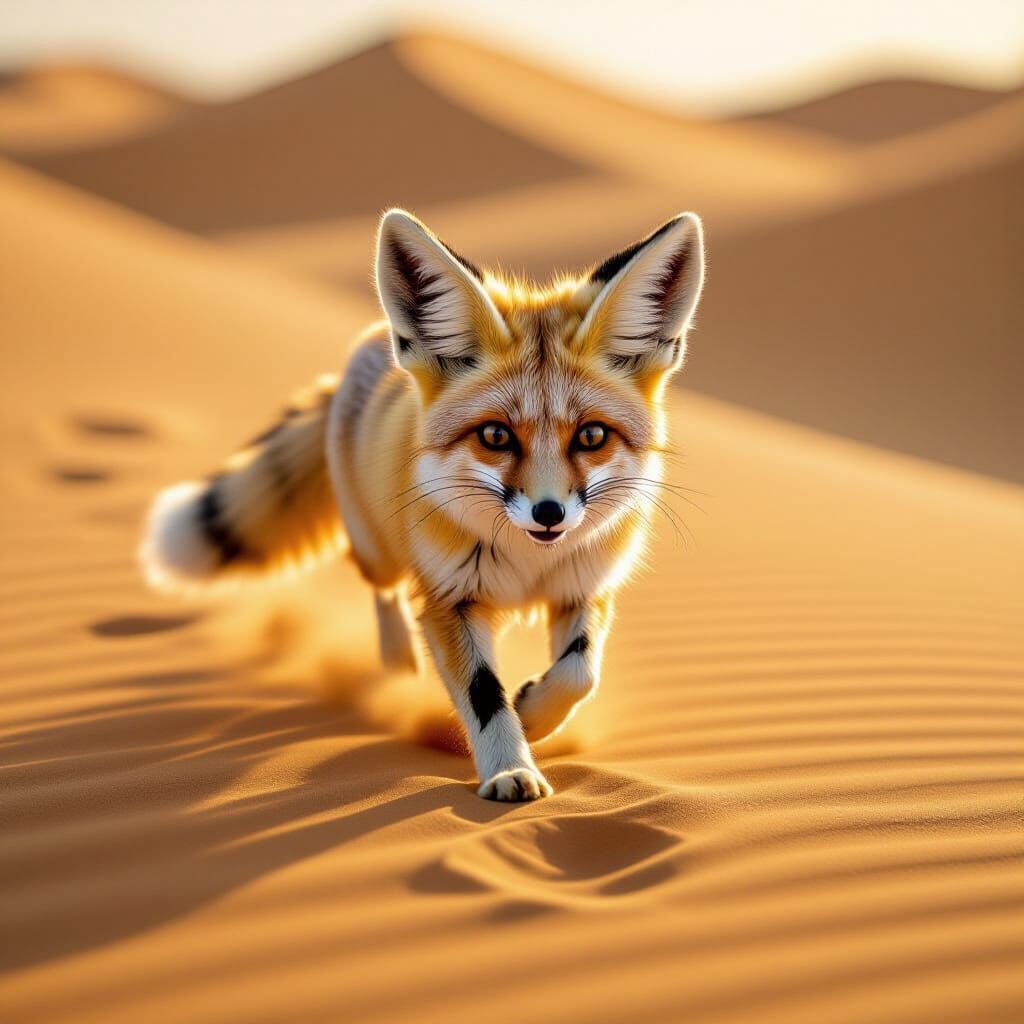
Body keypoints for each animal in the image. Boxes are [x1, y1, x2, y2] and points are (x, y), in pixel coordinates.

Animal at [140, 209, 705, 801]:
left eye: (592, 436)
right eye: (496, 436)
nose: (549, 514)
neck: (529, 565)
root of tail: (367, 347)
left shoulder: (584, 586)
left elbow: (579, 675)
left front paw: (533, 714)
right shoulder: (448, 599)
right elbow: (484, 695)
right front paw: (510, 768)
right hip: (376, 549)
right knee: (380, 587)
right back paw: (398, 666)